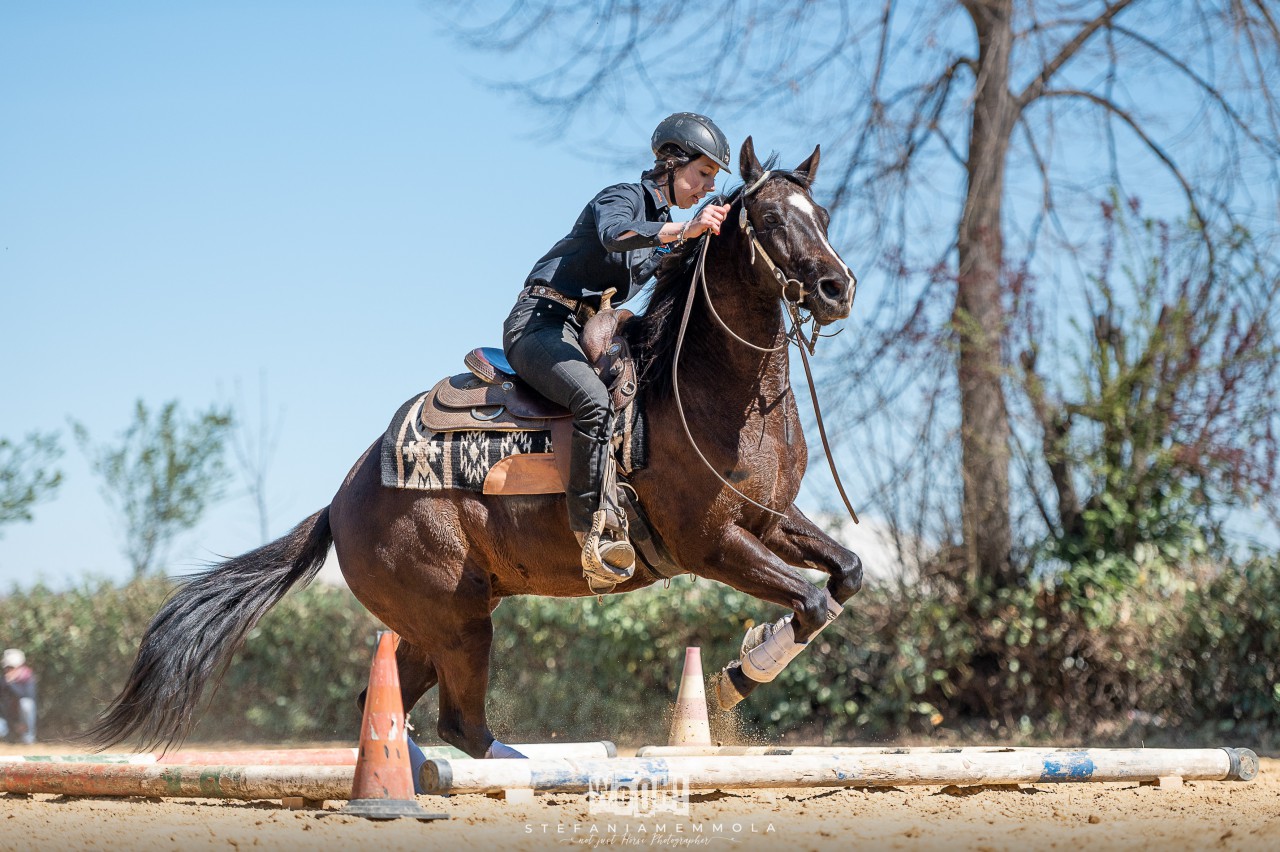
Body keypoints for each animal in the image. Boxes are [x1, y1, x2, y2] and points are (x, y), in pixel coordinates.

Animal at [90, 137, 865, 757]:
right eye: (772, 220)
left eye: (824, 218)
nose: (837, 287)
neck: (705, 390)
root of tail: (340, 502)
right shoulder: (710, 544)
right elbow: (811, 599)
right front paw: (738, 679)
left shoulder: (767, 522)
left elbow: (845, 577)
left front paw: (750, 659)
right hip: (458, 622)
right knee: (461, 724)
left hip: (430, 627)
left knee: (390, 704)